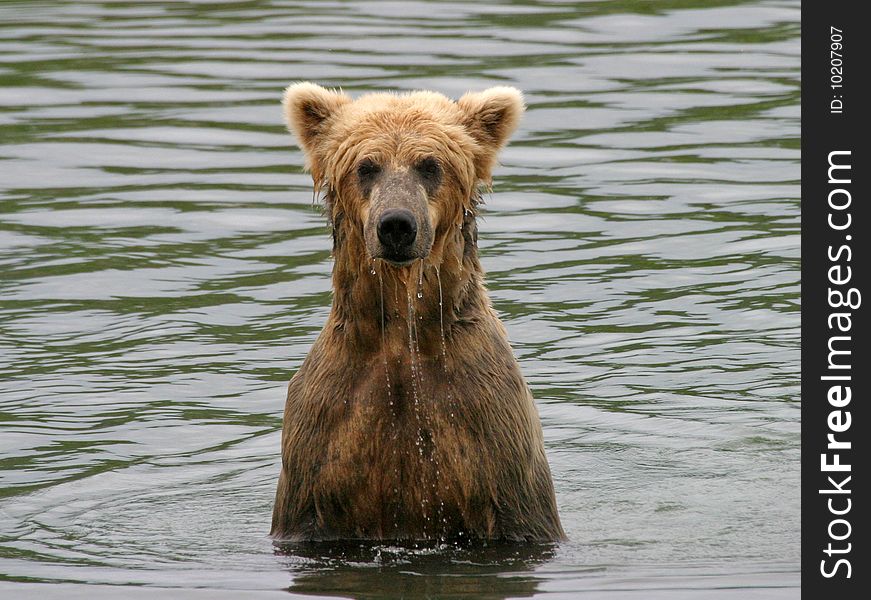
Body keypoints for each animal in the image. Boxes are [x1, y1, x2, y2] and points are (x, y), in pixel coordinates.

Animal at [274, 82, 564, 548]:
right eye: (367, 167)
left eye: (429, 165)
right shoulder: (322, 439)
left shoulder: (489, 428)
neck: (402, 335)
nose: (396, 225)